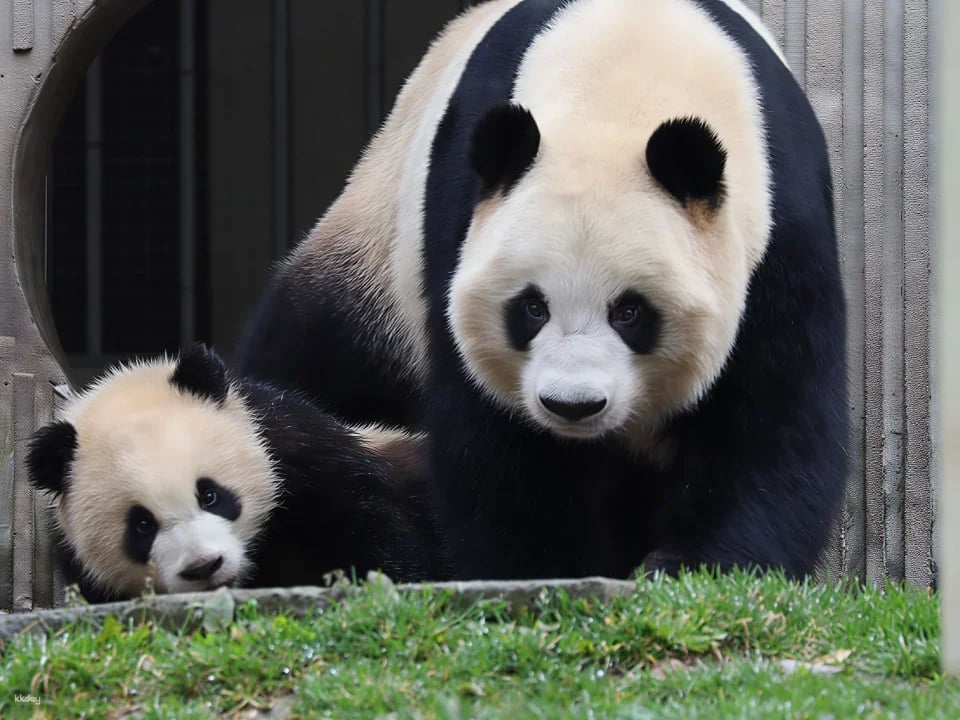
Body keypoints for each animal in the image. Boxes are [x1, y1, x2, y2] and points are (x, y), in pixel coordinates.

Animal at [238, 0, 848, 580]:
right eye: (531, 307)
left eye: (630, 312)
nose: (572, 406)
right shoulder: (462, 205)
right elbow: (495, 434)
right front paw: (545, 568)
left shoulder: (778, 215)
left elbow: (774, 410)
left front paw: (698, 565)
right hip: (374, 252)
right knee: (317, 357)